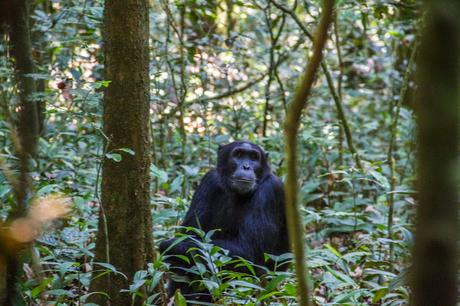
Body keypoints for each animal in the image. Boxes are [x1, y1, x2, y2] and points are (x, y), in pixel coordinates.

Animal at [158, 142, 288, 302]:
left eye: (253, 157)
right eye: (238, 155)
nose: (246, 166)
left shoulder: (270, 191)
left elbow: (248, 251)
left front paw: (169, 246)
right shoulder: (209, 181)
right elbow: (191, 231)